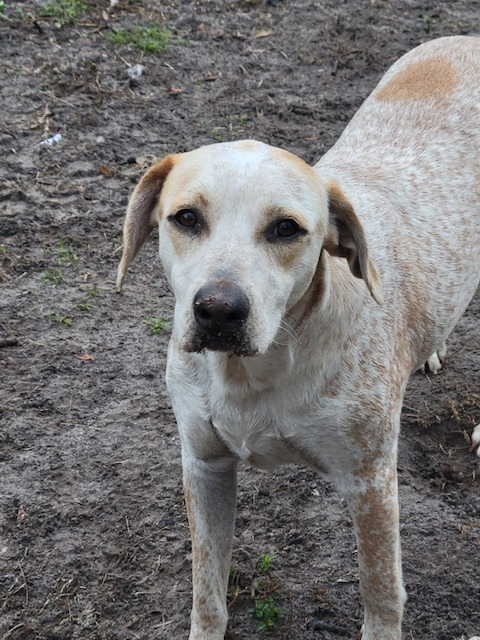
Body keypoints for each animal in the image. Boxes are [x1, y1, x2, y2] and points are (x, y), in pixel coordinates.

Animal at [116, 37, 480, 636]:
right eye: (186, 218)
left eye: (286, 228)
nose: (218, 310)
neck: (256, 373)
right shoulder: (204, 465)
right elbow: (207, 589)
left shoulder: (371, 482)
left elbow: (382, 593)